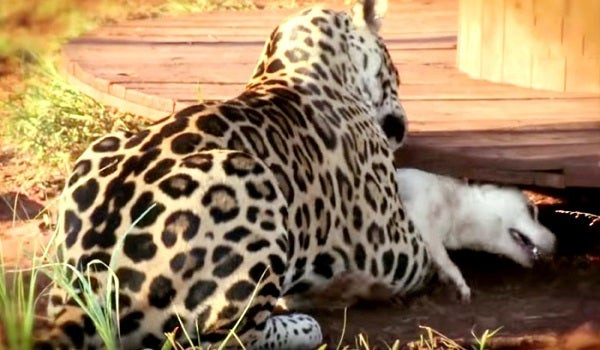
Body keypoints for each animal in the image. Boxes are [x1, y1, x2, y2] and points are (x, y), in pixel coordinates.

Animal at [396, 167, 556, 300]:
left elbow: (442, 263)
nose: (556, 242)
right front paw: (462, 287)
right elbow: (448, 263)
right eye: (531, 210)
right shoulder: (427, 232)